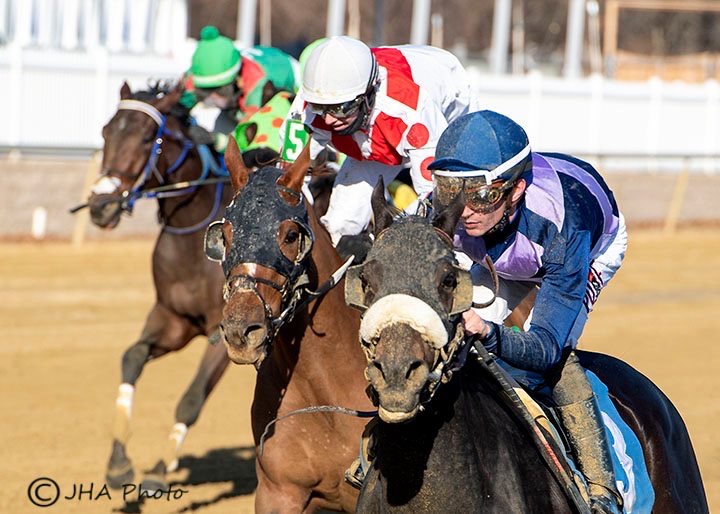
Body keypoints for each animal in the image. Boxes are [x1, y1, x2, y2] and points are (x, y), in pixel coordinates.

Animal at [86, 83, 338, 492]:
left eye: (147, 137)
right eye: (106, 131)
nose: (101, 205)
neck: (189, 244)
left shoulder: (222, 336)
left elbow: (191, 398)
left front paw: (160, 469)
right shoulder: (174, 319)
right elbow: (131, 358)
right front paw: (119, 462)